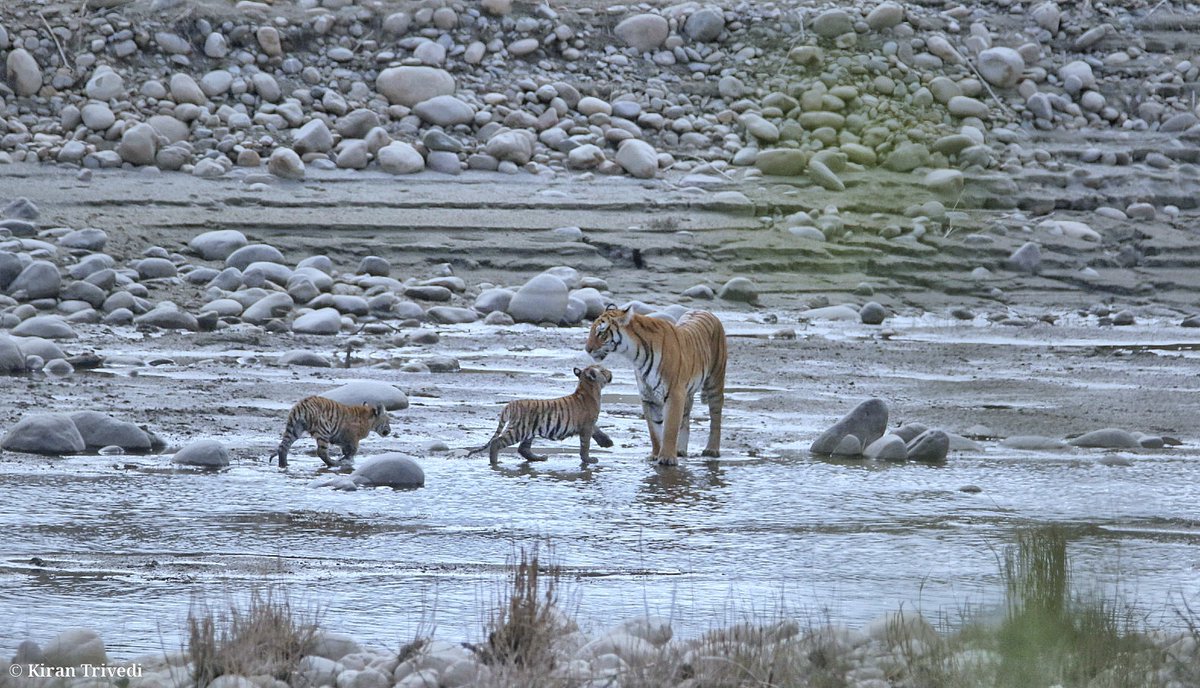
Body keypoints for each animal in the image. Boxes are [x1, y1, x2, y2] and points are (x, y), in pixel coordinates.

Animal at [585, 302, 724, 463]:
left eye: (601, 333)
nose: (587, 349)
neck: (636, 355)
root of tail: (705, 311)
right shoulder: (648, 396)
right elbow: (654, 431)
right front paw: (656, 455)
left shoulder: (675, 393)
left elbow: (670, 428)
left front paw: (667, 458)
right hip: (688, 392)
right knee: (685, 419)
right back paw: (680, 450)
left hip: (715, 381)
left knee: (716, 417)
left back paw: (712, 450)